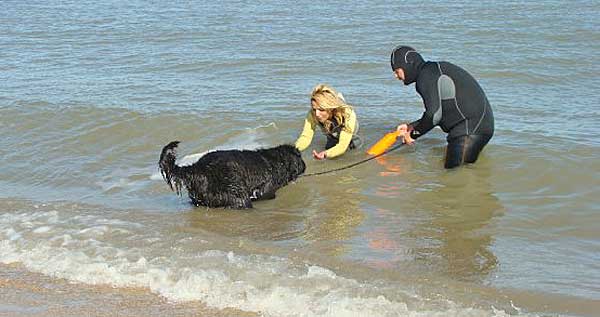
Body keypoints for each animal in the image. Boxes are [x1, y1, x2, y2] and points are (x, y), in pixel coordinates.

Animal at [159, 141, 304, 207]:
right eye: (300, 158)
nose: (304, 166)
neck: (277, 162)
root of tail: (199, 167)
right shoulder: (266, 189)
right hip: (238, 195)